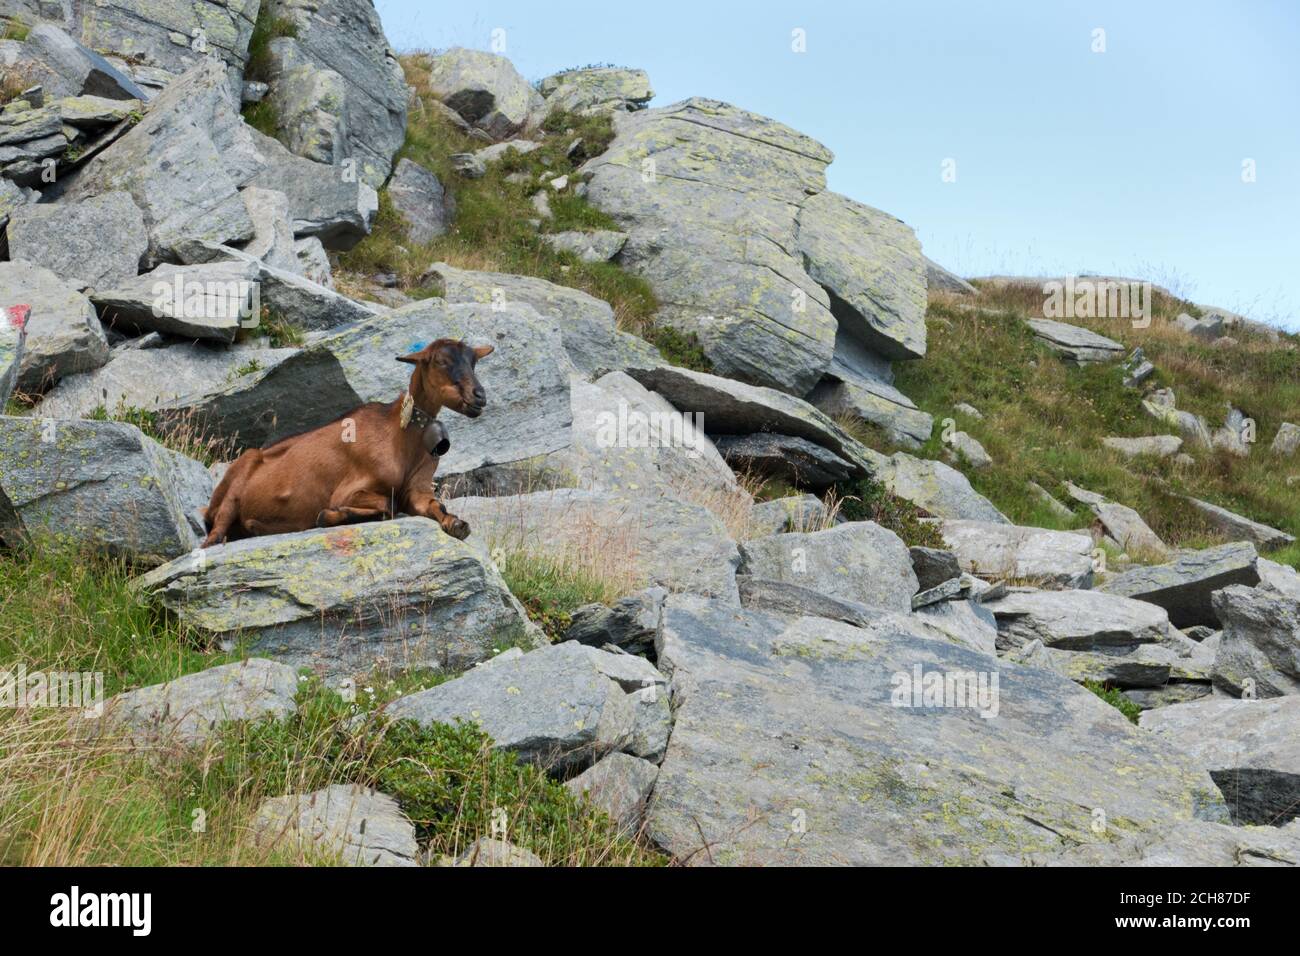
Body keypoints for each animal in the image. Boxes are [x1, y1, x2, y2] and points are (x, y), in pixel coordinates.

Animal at [200, 338, 488, 548]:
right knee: (214, 534)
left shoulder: (417, 490)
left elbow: (435, 505)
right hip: (235, 484)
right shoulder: (348, 490)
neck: (400, 437)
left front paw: (457, 524)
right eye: (440, 361)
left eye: (474, 362)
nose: (480, 396)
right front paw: (328, 516)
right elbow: (388, 506)